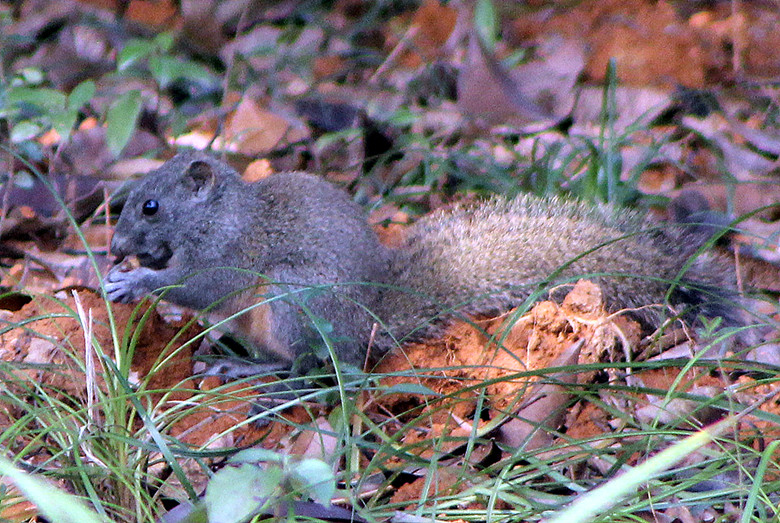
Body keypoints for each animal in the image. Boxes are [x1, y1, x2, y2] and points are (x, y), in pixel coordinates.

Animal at [105, 151, 744, 372]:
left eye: (151, 205)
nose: (112, 247)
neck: (221, 213)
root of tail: (369, 323)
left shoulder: (231, 253)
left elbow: (198, 286)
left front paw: (134, 282)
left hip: (292, 300)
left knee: (313, 366)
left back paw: (258, 374)